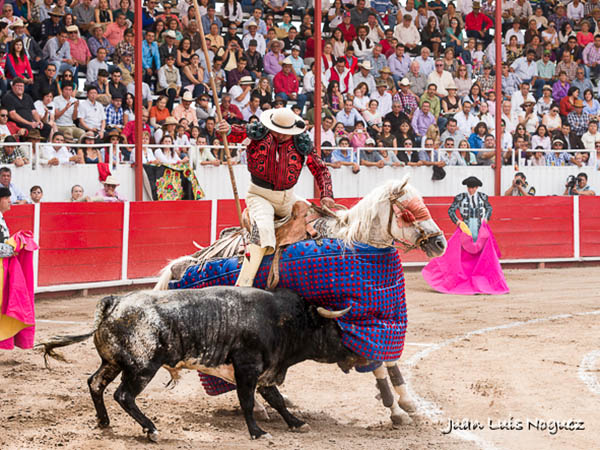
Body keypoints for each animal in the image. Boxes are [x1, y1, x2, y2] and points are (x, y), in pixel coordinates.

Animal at [38, 287, 360, 441]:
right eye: (335, 329)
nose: (357, 354)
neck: (282, 320)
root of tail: (115, 302)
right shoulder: (247, 368)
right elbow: (247, 401)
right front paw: (257, 432)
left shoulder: (265, 371)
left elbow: (277, 399)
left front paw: (296, 423)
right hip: (142, 367)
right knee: (124, 395)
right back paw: (151, 429)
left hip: (112, 361)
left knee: (95, 383)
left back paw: (104, 422)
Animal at [154, 175, 447, 426]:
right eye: (408, 212)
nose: (440, 243)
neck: (353, 244)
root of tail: (188, 263)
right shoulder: (357, 323)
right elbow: (377, 365)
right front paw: (397, 411)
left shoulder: (381, 319)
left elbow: (390, 360)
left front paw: (408, 403)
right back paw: (260, 409)